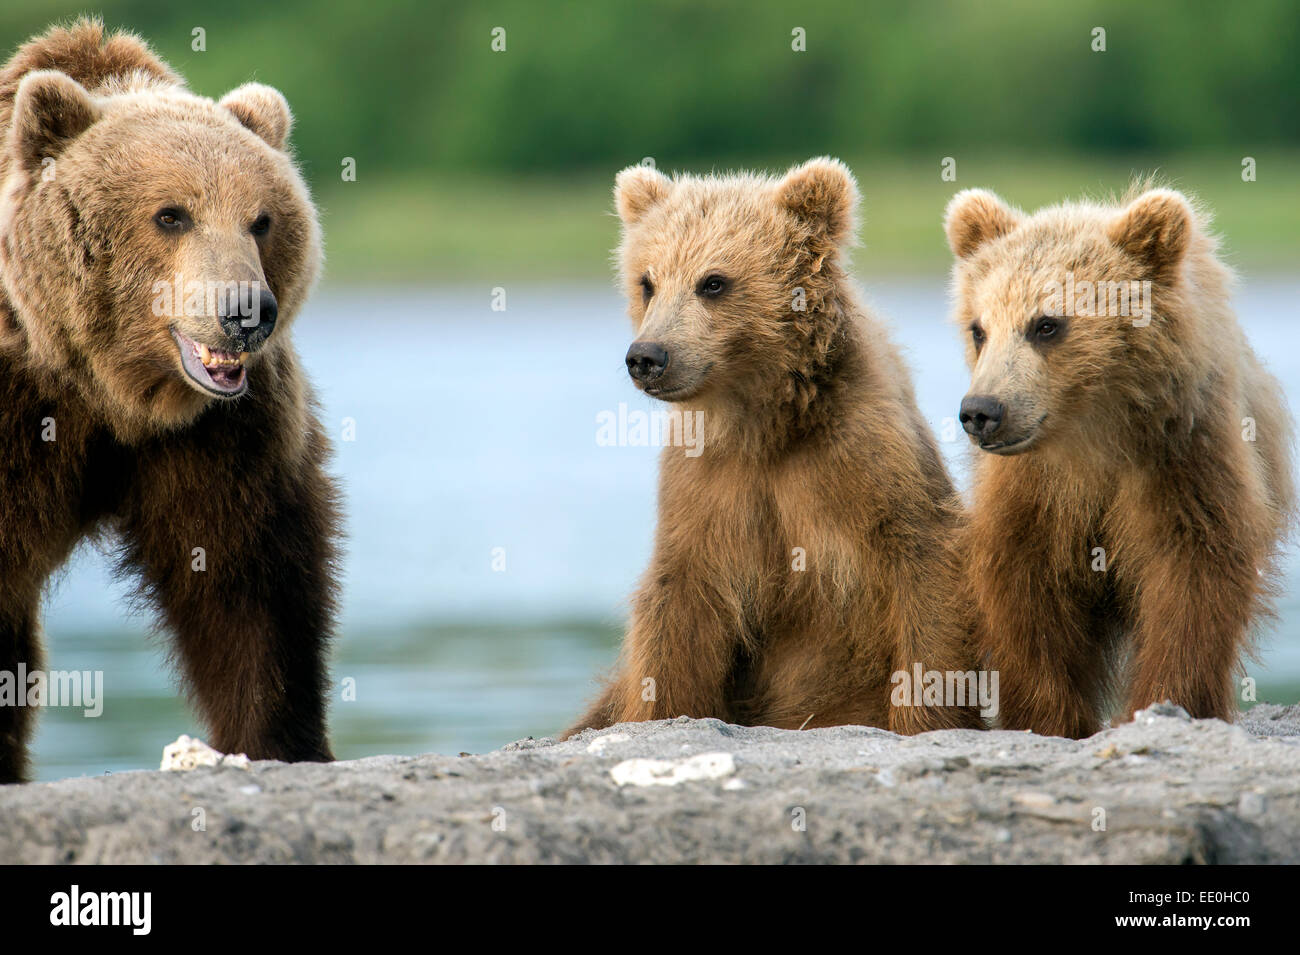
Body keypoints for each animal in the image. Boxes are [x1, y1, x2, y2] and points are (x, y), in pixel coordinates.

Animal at [0, 20, 340, 784]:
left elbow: (245, 579)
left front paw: (278, 740)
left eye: (262, 219)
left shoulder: (219, 431)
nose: (245, 312)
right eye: (171, 214)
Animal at [564, 158, 977, 738]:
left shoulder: (862, 458)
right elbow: (680, 606)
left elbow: (921, 564)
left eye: (713, 282)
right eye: (647, 281)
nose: (648, 356)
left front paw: (924, 716)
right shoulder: (710, 483)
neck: (766, 422)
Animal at [951, 184, 1294, 738]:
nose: (981, 412)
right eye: (978, 329)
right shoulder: (1035, 487)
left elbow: (1192, 575)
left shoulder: (1181, 456)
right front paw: (1049, 715)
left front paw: (1165, 702)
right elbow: (1026, 587)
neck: (1093, 432)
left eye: (1046, 324)